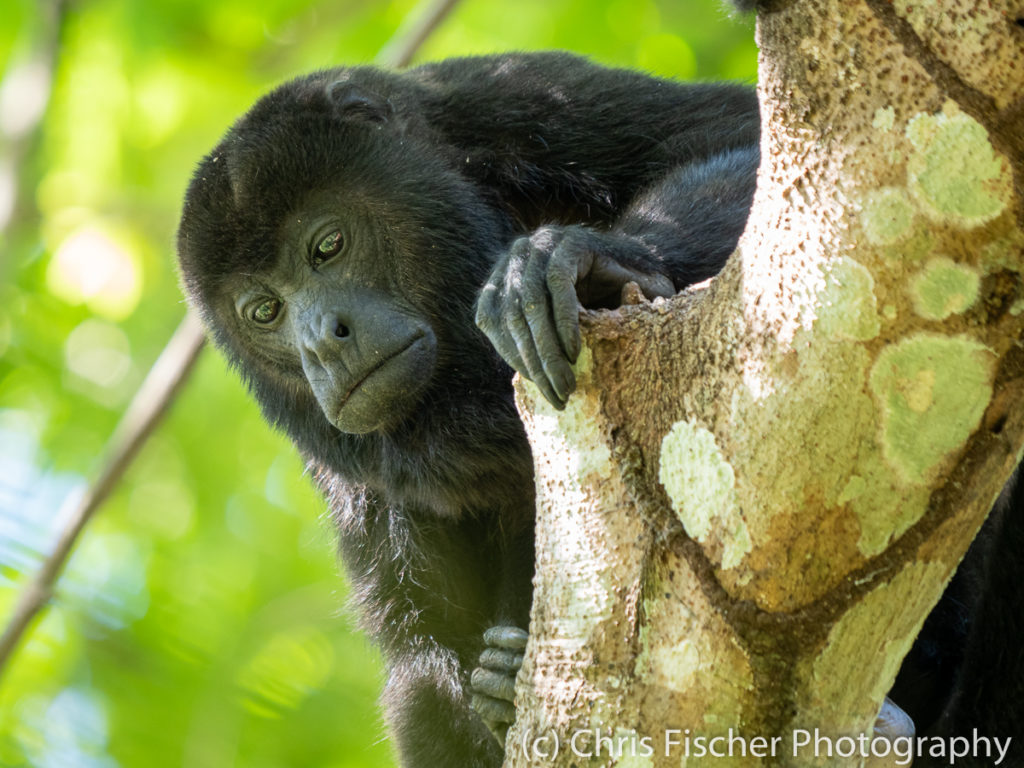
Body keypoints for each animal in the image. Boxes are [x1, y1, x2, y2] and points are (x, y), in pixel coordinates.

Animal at [180, 52, 1019, 768]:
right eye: (264, 311)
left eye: (327, 246)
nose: (323, 342)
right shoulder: (339, 470)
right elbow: (419, 640)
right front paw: (494, 693)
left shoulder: (507, 96)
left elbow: (751, 135)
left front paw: (586, 256)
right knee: (415, 699)